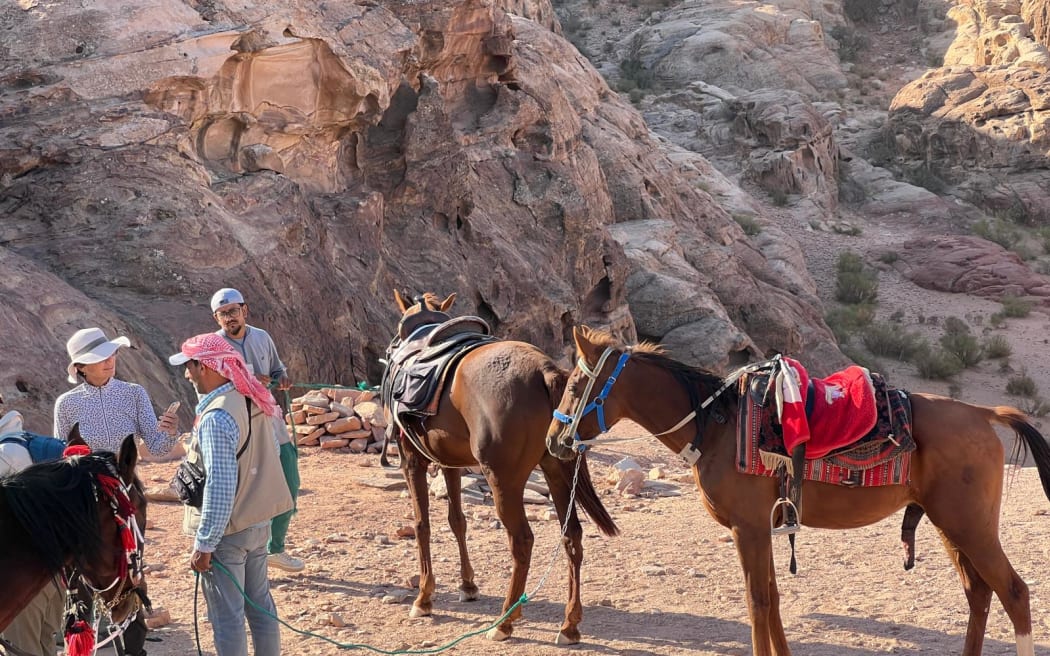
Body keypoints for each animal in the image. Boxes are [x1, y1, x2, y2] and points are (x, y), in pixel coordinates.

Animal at [381, 291, 619, 644]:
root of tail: (546, 370)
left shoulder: (412, 459)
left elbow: (422, 524)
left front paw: (424, 598)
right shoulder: (451, 463)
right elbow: (457, 521)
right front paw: (467, 585)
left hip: (504, 481)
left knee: (522, 541)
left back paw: (506, 620)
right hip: (556, 471)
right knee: (572, 537)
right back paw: (569, 624)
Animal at [547, 325, 1050, 656]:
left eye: (576, 383)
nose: (554, 440)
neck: (717, 426)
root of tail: (984, 413)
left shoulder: (747, 528)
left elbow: (757, 602)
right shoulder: (763, 528)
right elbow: (771, 600)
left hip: (970, 526)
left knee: (1014, 592)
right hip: (951, 525)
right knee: (979, 594)